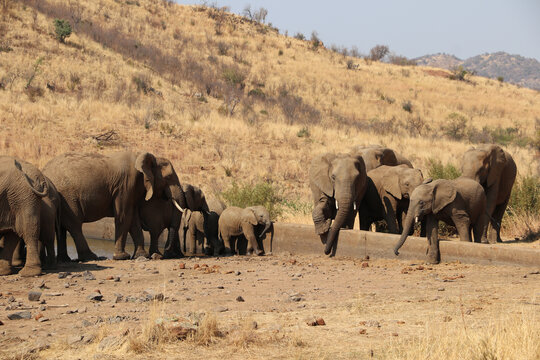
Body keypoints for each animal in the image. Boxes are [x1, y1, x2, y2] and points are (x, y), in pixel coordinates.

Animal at [41, 152, 188, 262]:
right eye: (168, 178)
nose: (166, 254)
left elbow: (133, 220)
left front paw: (141, 256)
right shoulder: (125, 186)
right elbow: (124, 216)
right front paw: (122, 257)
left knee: (62, 228)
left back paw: (64, 260)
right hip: (67, 197)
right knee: (74, 225)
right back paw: (91, 257)